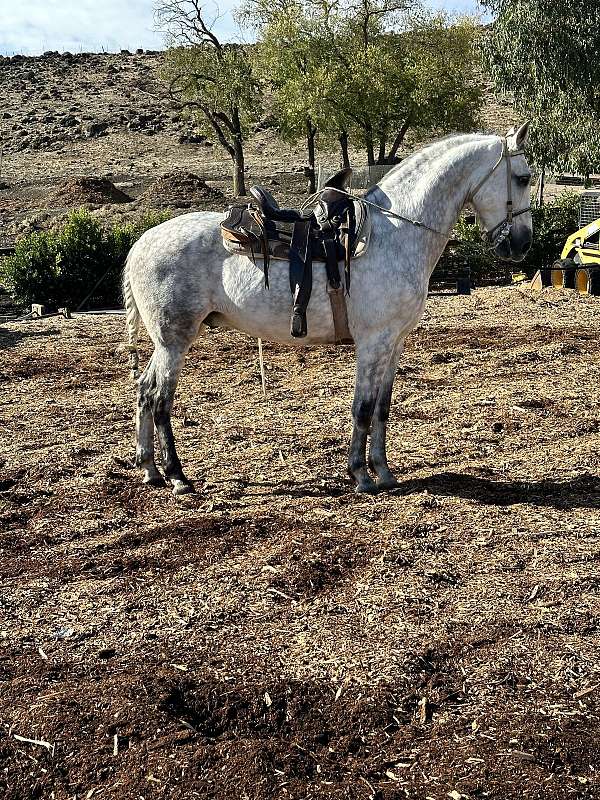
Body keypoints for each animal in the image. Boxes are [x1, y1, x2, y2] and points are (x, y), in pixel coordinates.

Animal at [124, 125, 532, 494]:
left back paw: (150, 470)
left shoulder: (394, 343)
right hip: (174, 342)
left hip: (165, 344)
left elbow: (383, 407)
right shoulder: (373, 342)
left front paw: (384, 472)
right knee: (159, 399)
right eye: (523, 177)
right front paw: (361, 476)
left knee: (144, 390)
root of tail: (142, 241)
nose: (522, 244)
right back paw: (177, 476)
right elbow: (363, 407)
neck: (396, 232)